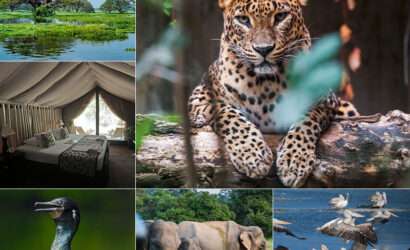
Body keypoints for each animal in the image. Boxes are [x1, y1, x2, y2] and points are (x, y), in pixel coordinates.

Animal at [187, 0, 358, 188]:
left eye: (281, 16)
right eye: (243, 20)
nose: (264, 49)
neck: (265, 83)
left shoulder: (325, 99)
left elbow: (306, 120)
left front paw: (294, 161)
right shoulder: (199, 96)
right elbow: (229, 115)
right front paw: (252, 155)